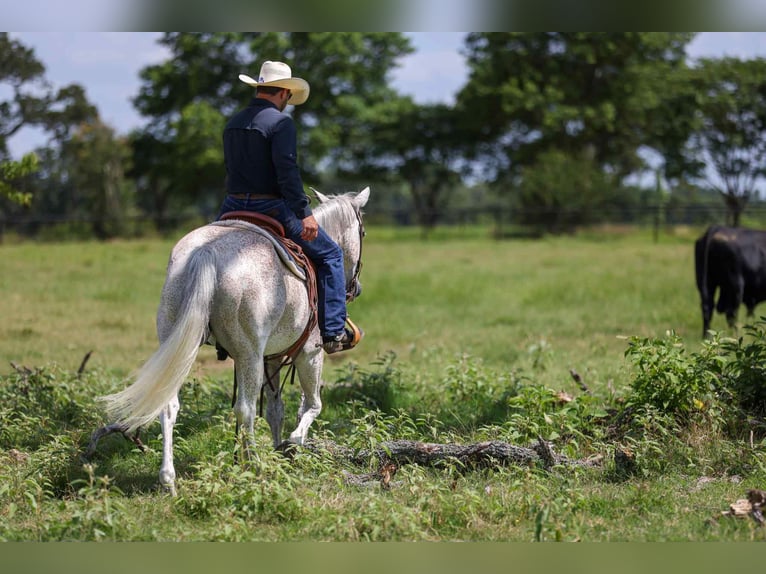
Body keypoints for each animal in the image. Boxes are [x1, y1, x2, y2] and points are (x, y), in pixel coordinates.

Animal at [98, 187, 369, 495]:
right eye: (363, 232)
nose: (356, 288)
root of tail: (207, 252)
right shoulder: (309, 353)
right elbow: (311, 406)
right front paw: (290, 446)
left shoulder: (272, 357)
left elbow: (276, 410)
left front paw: (278, 450)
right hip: (249, 355)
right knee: (245, 409)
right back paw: (253, 468)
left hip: (181, 346)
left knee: (168, 405)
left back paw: (169, 481)